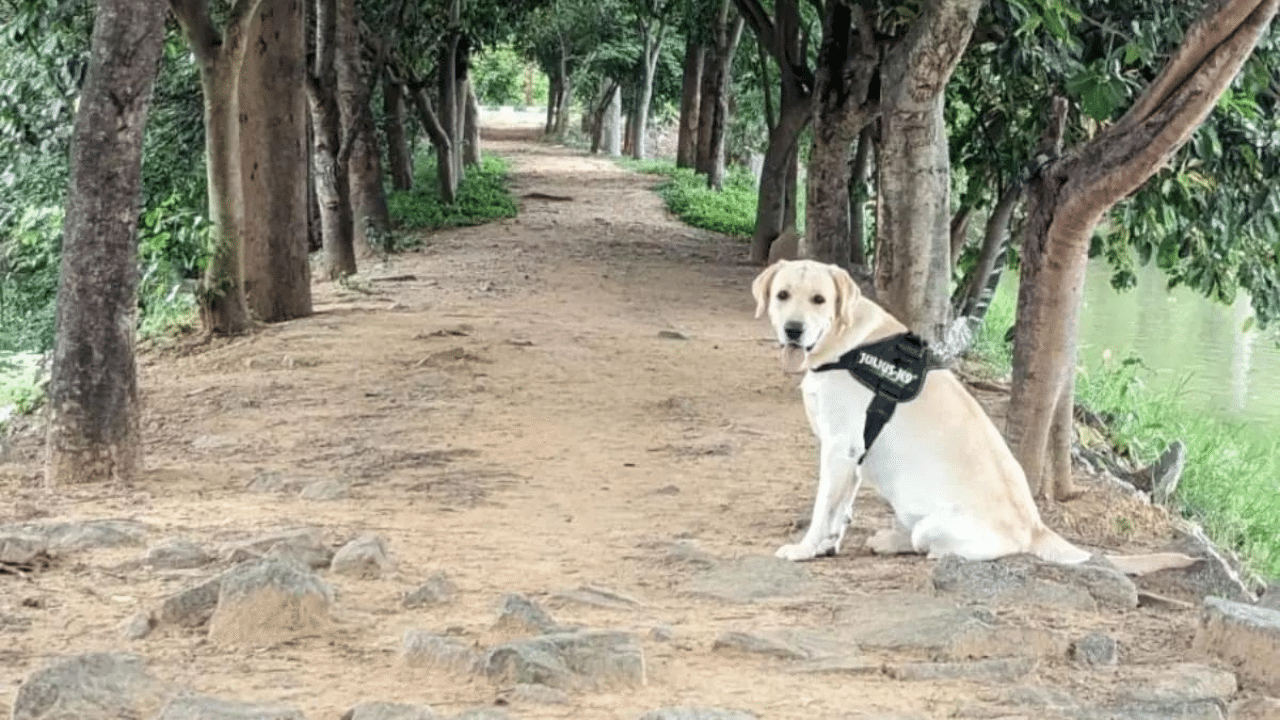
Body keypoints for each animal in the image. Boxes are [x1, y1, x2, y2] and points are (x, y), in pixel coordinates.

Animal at [747, 257, 1198, 571]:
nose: (793, 329)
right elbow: (840, 508)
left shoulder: (841, 447)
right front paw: (828, 545)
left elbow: (823, 507)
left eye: (819, 300)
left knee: (931, 546)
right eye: (782, 295)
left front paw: (804, 548)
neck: (845, 343)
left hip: (934, 525)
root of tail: (1036, 527)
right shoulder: (854, 453)